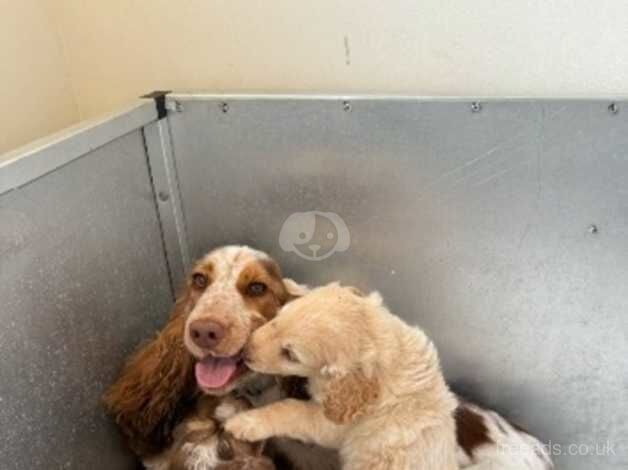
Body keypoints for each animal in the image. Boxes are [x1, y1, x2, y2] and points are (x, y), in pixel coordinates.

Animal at [224, 282, 456, 470]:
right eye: (279, 316)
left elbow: (291, 408)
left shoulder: (330, 425)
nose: (244, 352)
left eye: (291, 355)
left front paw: (244, 422)